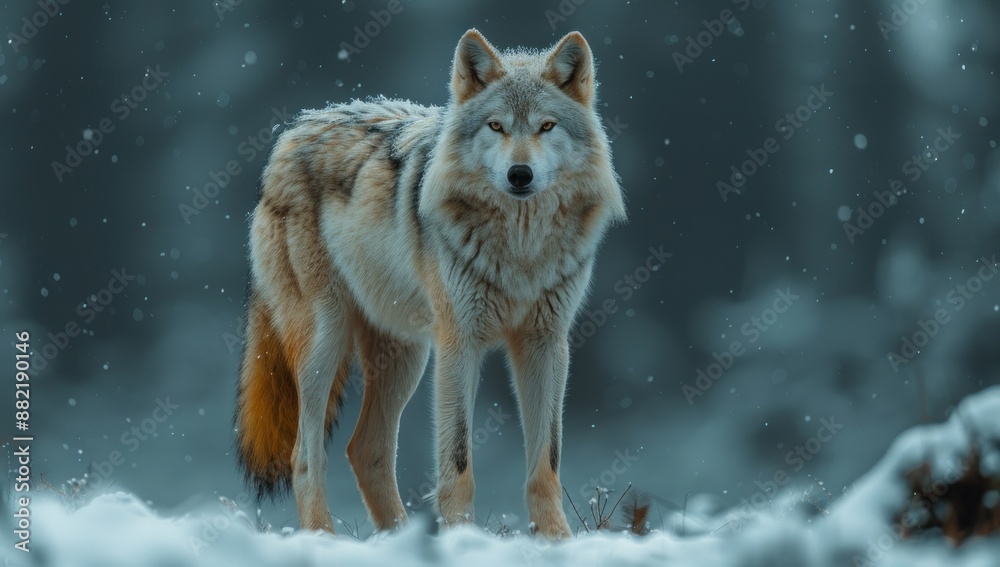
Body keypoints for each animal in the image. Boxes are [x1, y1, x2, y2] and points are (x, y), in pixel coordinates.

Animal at [234, 28, 625, 539]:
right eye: (496, 127)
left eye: (546, 127)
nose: (520, 175)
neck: (520, 249)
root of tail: (292, 131)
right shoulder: (459, 342)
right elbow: (458, 462)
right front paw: (462, 538)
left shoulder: (547, 344)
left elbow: (547, 463)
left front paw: (557, 540)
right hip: (327, 344)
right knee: (305, 455)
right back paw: (325, 537)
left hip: (405, 356)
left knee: (365, 450)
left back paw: (399, 537)